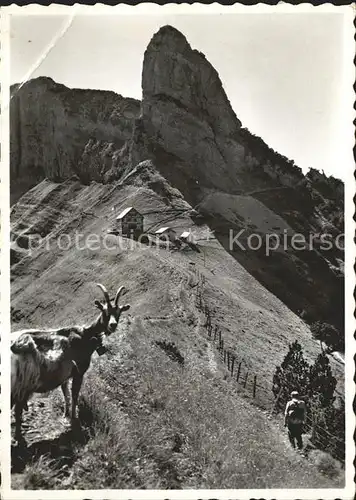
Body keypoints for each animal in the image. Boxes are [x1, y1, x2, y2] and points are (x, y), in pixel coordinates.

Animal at [10, 284, 130, 444]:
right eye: (104, 311)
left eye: (119, 312)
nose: (113, 325)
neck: (85, 334)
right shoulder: (79, 371)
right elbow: (74, 394)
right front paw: (74, 418)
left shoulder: (65, 376)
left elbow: (65, 393)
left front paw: (66, 415)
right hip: (20, 385)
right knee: (17, 409)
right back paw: (18, 437)